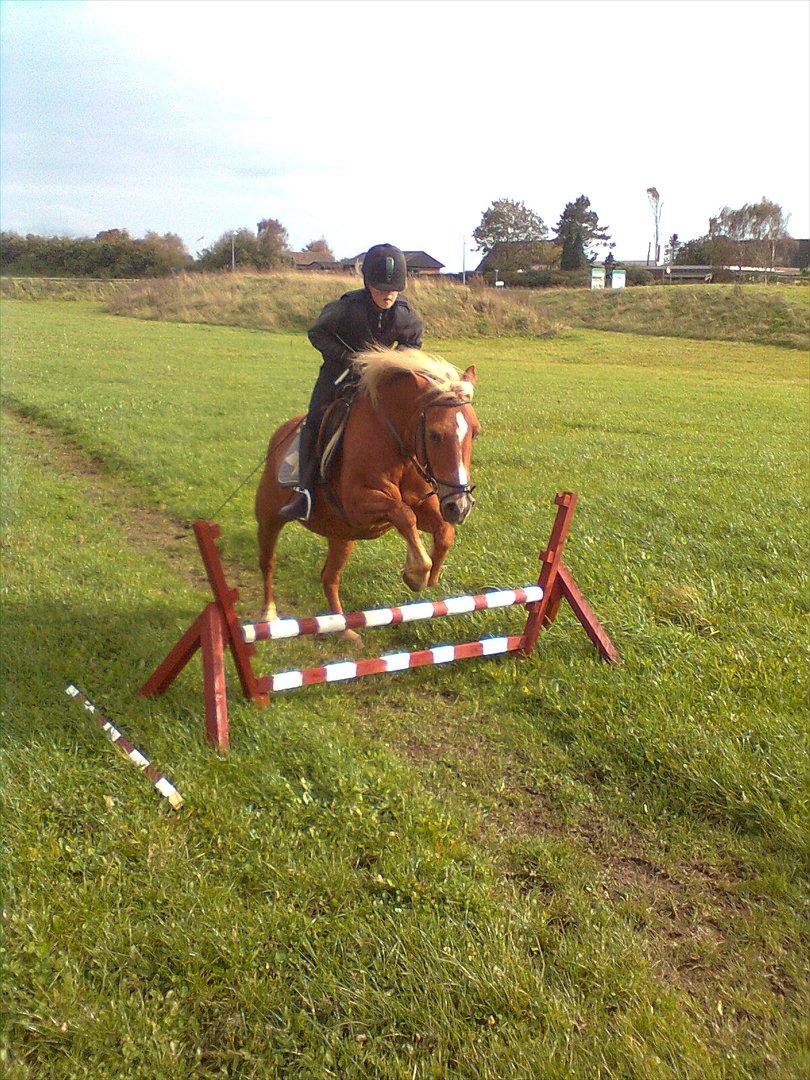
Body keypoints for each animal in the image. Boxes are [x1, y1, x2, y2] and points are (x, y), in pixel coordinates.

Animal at [257, 349, 479, 639]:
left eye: (475, 433)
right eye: (434, 434)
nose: (460, 506)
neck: (395, 442)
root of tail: (280, 434)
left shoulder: (424, 506)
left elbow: (444, 533)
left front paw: (427, 576)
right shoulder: (359, 505)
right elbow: (403, 514)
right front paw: (416, 573)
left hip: (341, 536)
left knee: (329, 577)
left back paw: (345, 632)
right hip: (269, 517)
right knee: (268, 561)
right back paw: (269, 615)